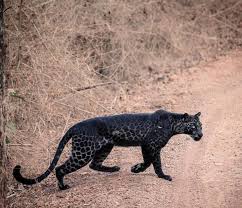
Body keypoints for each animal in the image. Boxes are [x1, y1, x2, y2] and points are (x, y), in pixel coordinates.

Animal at [12, 110, 202, 190]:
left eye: (201, 126)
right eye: (194, 126)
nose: (201, 135)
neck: (174, 124)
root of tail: (74, 126)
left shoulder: (145, 145)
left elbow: (148, 161)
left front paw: (135, 168)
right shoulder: (151, 145)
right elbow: (155, 163)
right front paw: (163, 176)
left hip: (105, 147)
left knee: (95, 164)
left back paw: (114, 168)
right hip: (83, 152)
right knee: (60, 168)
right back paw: (63, 187)